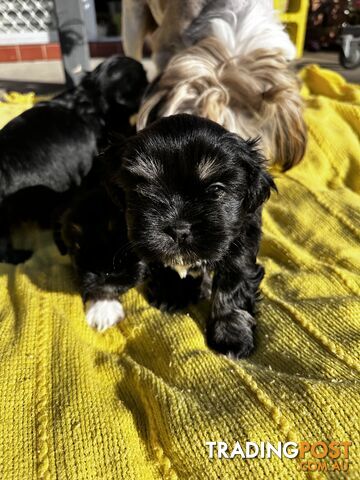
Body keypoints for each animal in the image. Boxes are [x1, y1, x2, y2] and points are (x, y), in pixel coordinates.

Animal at [60, 114, 276, 358]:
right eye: (144, 190)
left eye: (216, 190)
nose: (179, 229)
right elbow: (167, 266)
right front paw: (172, 293)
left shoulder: (241, 242)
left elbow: (232, 289)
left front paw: (231, 337)